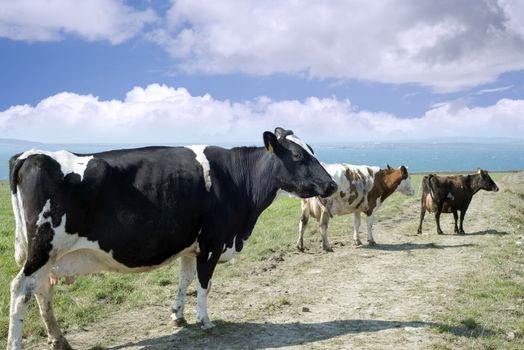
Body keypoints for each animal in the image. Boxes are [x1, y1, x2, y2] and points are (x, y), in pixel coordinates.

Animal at [7, 128, 336, 350]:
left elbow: (184, 279)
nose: (332, 184)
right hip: (43, 247)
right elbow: (204, 284)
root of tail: (32, 154)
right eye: (298, 155)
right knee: (21, 290)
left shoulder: (191, 245)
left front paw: (178, 315)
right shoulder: (213, 242)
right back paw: (17, 343)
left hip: (49, 255)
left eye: (312, 149)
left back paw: (59, 339)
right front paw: (205, 321)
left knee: (41, 291)